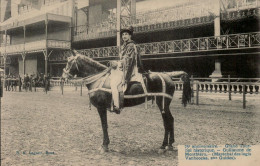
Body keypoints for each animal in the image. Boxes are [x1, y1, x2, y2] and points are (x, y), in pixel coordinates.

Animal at [61, 52, 191, 154]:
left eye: (69, 62)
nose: (63, 77)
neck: (98, 79)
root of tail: (168, 76)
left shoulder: (101, 108)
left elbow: (104, 125)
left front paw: (104, 145)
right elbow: (105, 125)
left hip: (162, 103)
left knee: (167, 121)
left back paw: (164, 145)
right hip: (164, 104)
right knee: (170, 120)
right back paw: (169, 145)